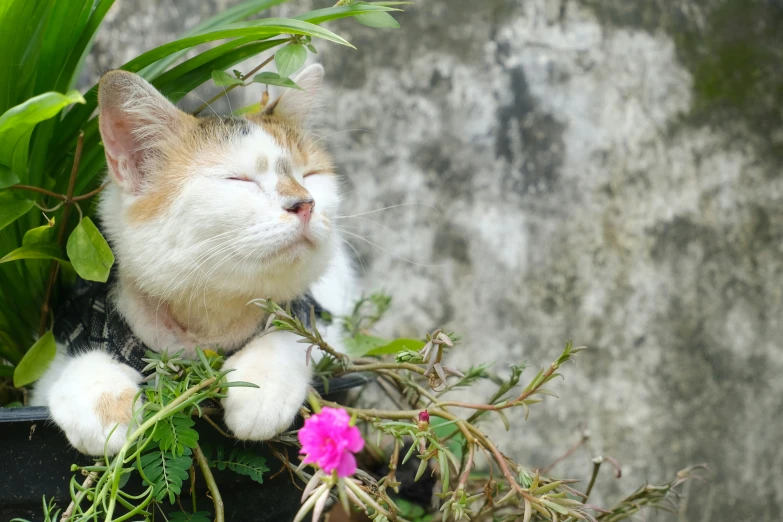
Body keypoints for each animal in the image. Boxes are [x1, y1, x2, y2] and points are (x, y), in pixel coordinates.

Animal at [31, 64, 358, 456]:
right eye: (239, 180)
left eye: (309, 175)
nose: (305, 203)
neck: (206, 321)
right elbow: (72, 366)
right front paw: (103, 402)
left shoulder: (328, 333)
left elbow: (294, 331)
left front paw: (262, 385)